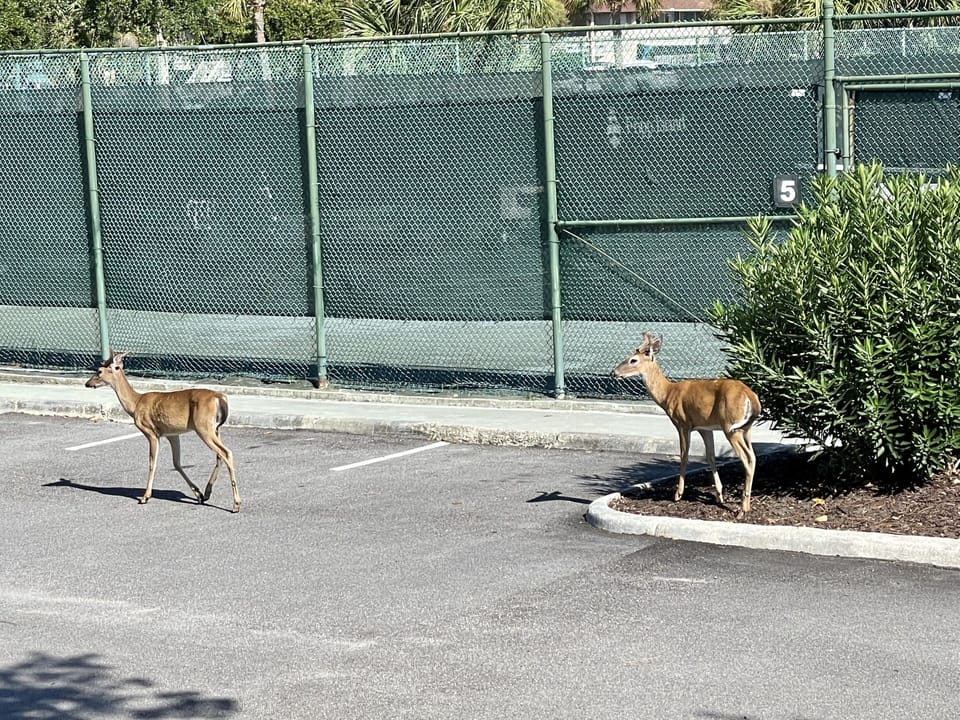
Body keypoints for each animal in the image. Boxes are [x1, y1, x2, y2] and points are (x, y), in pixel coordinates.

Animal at [85, 352, 240, 513]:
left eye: (99, 371)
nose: (87, 383)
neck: (136, 403)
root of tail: (220, 398)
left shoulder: (151, 431)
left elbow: (152, 463)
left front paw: (145, 497)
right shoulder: (172, 434)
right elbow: (177, 463)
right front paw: (198, 493)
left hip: (204, 427)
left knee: (226, 452)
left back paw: (236, 504)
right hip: (215, 428)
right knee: (219, 455)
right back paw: (208, 492)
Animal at [611, 332, 761, 514]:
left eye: (633, 360)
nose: (613, 372)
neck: (668, 394)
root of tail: (751, 397)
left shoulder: (682, 423)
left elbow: (684, 455)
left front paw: (678, 494)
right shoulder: (705, 427)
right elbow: (710, 456)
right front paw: (719, 495)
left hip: (731, 426)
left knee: (746, 458)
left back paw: (743, 508)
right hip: (746, 428)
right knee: (753, 457)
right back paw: (745, 504)